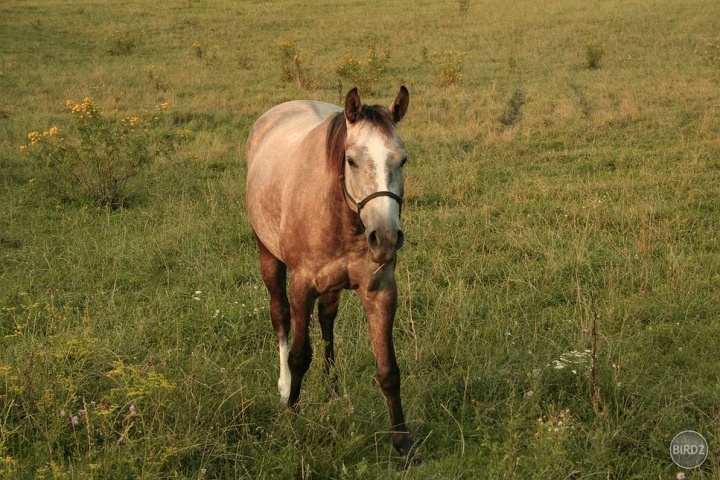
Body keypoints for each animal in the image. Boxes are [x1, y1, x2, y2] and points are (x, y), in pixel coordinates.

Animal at [248, 87, 416, 462]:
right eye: (351, 160)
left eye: (402, 160)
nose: (385, 238)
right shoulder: (301, 287)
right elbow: (299, 356)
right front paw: (292, 416)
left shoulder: (381, 291)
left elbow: (388, 370)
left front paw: (403, 444)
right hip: (269, 257)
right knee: (279, 316)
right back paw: (284, 387)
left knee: (327, 319)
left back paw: (333, 387)